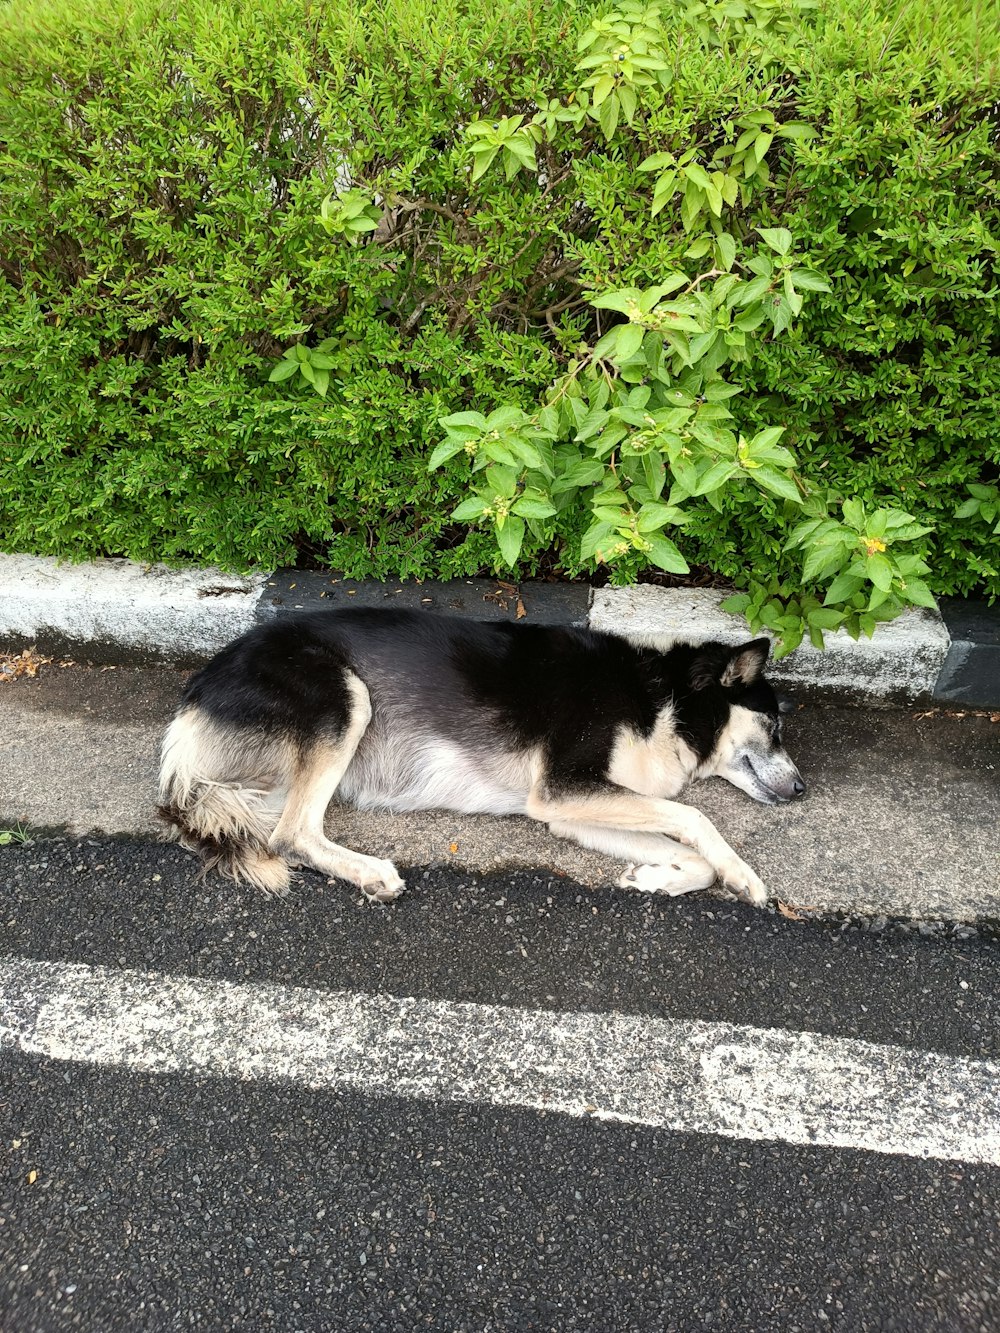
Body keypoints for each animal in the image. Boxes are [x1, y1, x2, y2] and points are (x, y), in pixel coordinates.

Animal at [160, 610, 810, 906]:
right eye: (776, 726)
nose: (804, 789)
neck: (663, 696)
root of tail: (196, 692)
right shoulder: (564, 787)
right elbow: (697, 819)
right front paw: (744, 874)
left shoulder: (566, 811)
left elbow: (687, 849)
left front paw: (656, 877)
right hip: (344, 698)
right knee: (291, 835)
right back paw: (369, 872)